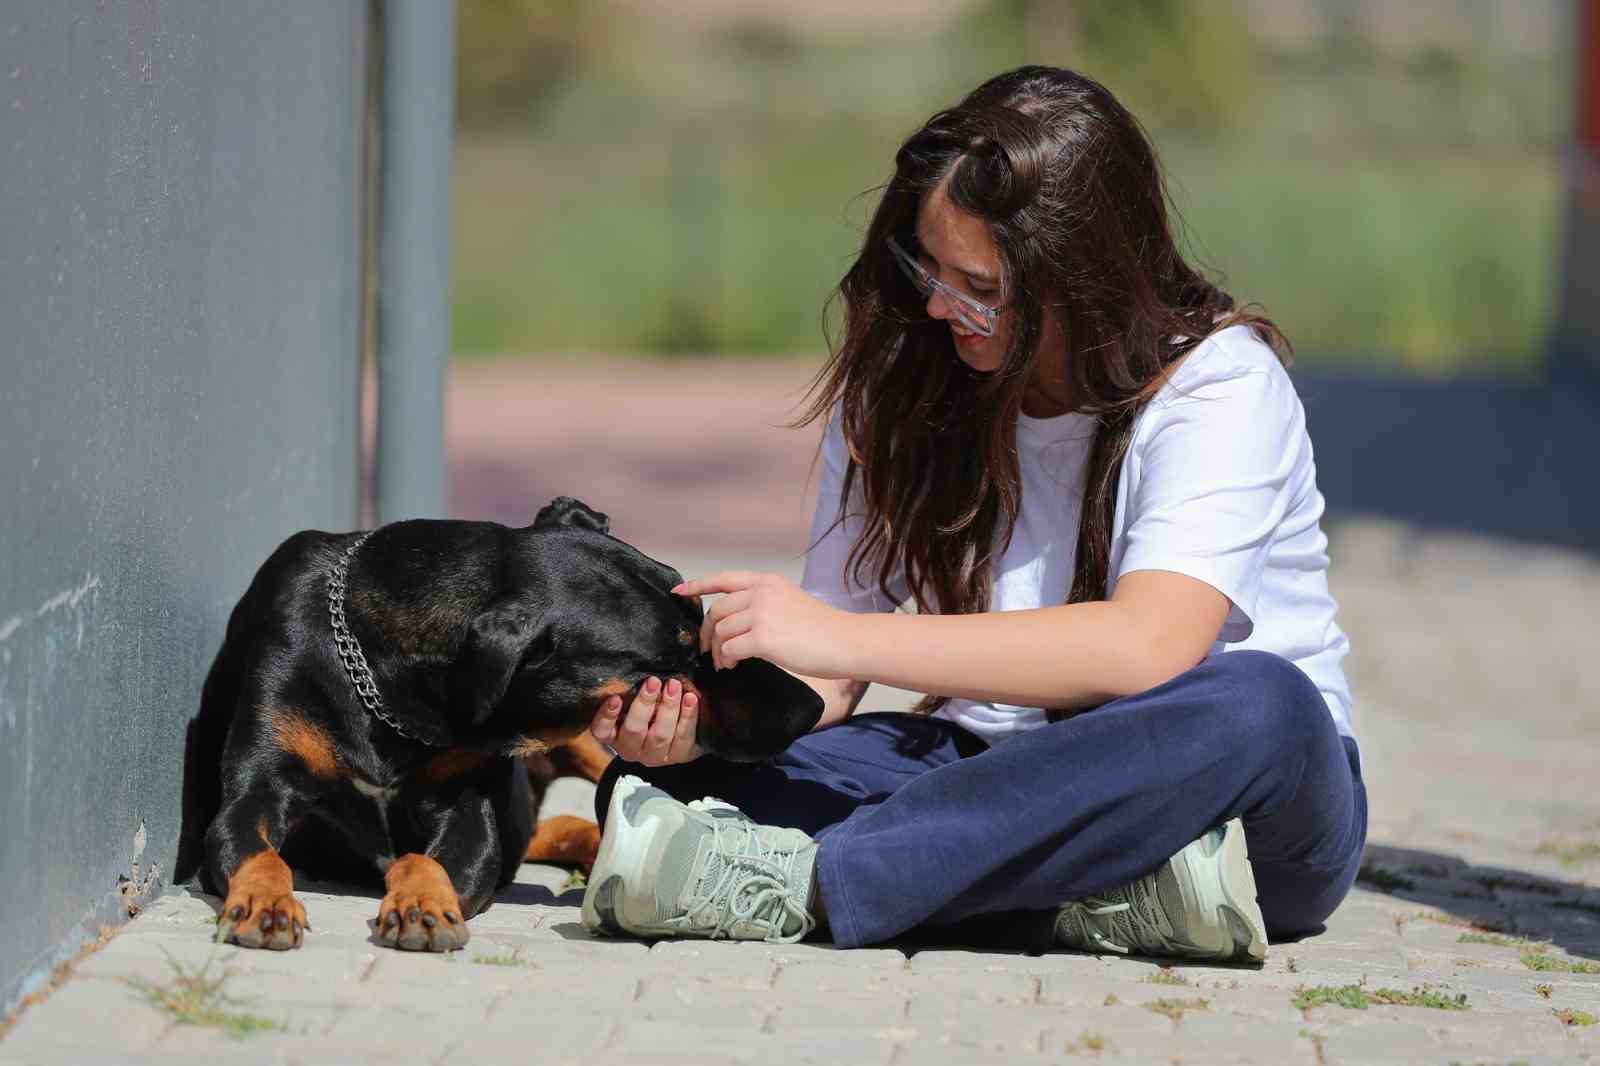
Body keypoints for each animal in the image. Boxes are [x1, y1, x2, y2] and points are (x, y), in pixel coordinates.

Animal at [175, 492, 825, 947]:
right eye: (676, 659)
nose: (812, 705)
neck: (385, 690)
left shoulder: (470, 807)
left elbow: (432, 853)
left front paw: (421, 905)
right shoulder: (257, 789)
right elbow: (251, 841)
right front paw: (265, 905)